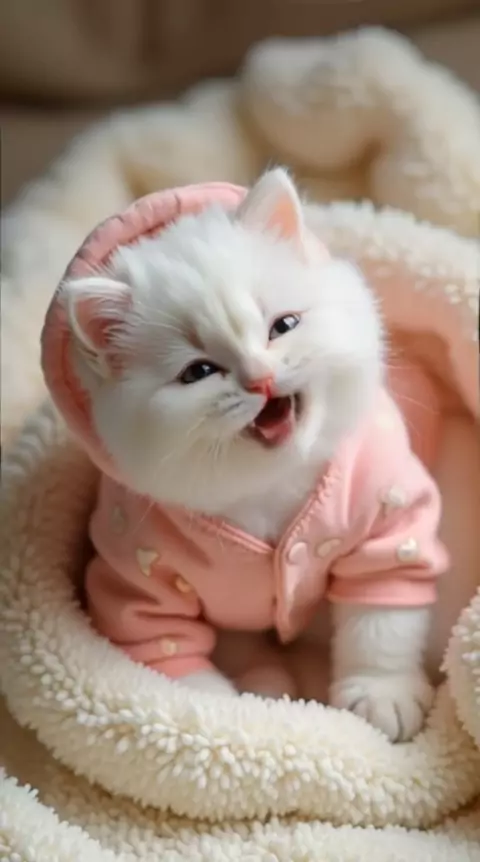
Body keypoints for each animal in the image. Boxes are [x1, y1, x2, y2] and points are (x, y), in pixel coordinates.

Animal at [61, 168, 447, 742]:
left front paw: (382, 694)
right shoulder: (138, 573)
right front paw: (220, 722)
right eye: (198, 372)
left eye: (283, 326)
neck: (268, 485)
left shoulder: (387, 520)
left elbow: (381, 617)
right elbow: (171, 660)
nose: (260, 379)